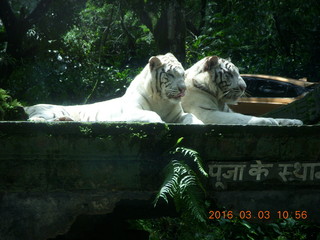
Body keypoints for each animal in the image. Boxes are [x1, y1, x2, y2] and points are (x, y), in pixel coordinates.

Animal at [24, 53, 202, 124]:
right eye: (170, 75)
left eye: (183, 75)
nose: (183, 89)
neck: (161, 100)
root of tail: (28, 106)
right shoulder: (131, 112)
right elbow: (152, 115)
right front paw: (159, 121)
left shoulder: (178, 114)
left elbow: (191, 116)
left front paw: (199, 122)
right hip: (50, 110)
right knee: (35, 119)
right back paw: (64, 119)